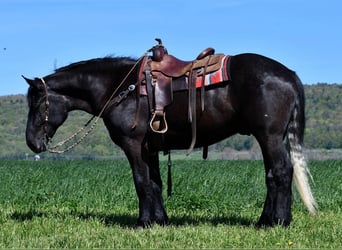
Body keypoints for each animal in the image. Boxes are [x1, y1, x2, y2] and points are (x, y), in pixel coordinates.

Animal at [24, 45, 316, 227]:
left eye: (37, 103)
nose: (32, 142)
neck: (122, 87)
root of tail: (288, 74)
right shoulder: (149, 147)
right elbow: (154, 183)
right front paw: (160, 221)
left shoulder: (133, 145)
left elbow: (141, 182)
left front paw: (143, 223)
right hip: (267, 137)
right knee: (273, 174)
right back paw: (265, 219)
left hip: (269, 136)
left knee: (280, 172)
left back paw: (277, 222)